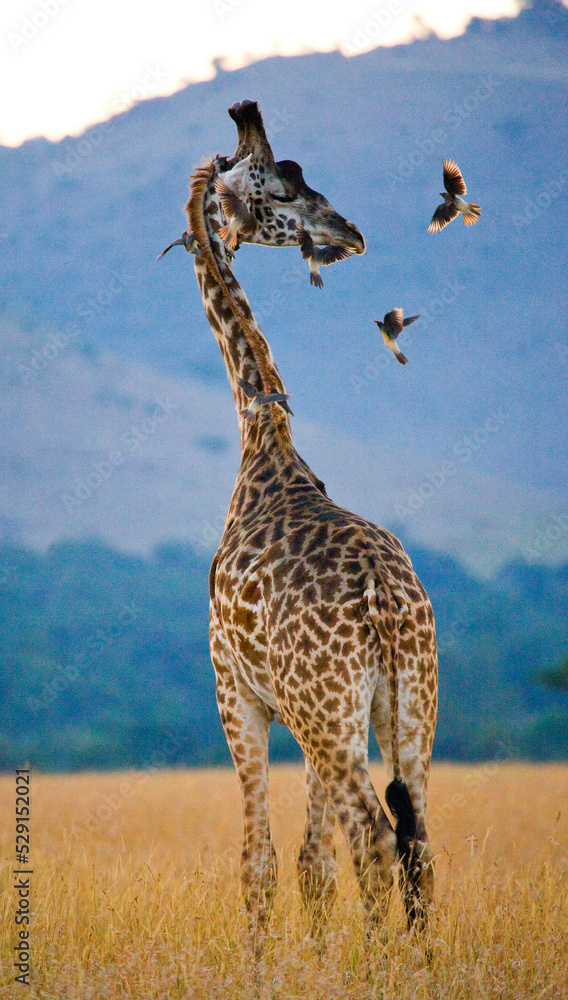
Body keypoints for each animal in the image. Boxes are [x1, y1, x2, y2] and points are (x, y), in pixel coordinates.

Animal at [181, 100, 437, 958]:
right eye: (280, 189)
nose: (350, 232)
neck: (265, 444)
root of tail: (386, 603)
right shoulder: (300, 714)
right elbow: (310, 867)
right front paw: (316, 966)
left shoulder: (238, 694)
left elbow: (260, 865)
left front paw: (264, 971)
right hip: (404, 707)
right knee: (417, 842)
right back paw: (417, 968)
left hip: (332, 712)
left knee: (378, 838)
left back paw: (385, 969)